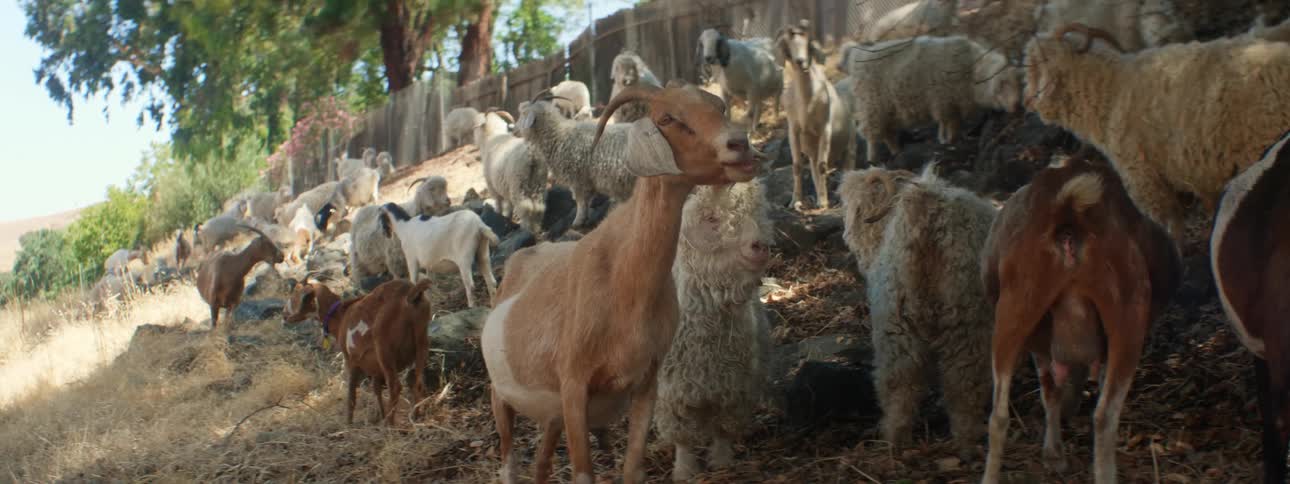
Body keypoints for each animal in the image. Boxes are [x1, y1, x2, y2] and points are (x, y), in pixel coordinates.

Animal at [481, 81, 759, 484]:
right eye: (667, 118)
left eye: (719, 107)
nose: (740, 145)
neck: (624, 284)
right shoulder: (574, 386)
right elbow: (583, 474)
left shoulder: (645, 383)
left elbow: (632, 469)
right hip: (500, 396)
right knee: (509, 462)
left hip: (551, 415)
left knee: (542, 464)